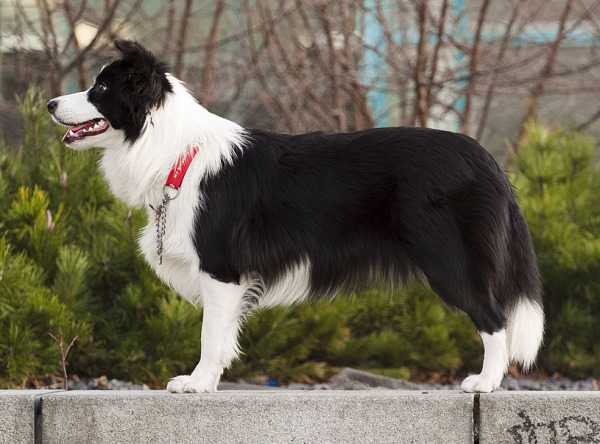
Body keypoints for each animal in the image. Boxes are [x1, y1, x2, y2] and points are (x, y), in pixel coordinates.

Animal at [48, 40, 544, 392]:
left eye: (101, 89)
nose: (50, 104)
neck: (172, 149)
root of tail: (487, 159)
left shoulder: (221, 267)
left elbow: (210, 334)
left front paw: (198, 383)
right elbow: (223, 336)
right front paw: (211, 380)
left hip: (448, 257)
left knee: (493, 317)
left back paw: (485, 383)